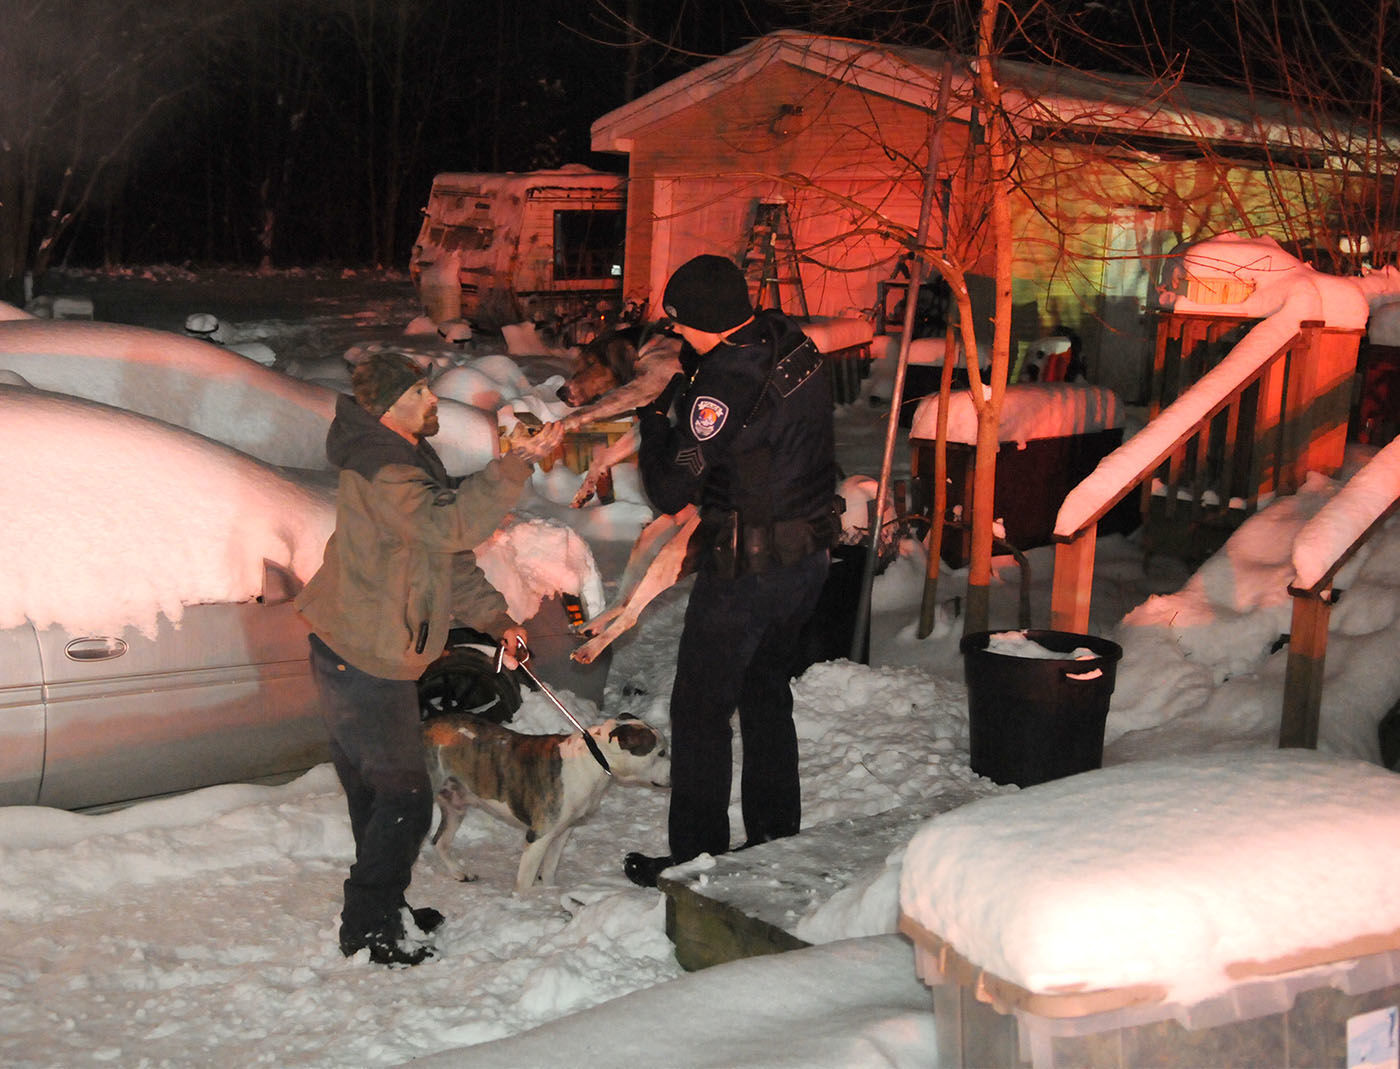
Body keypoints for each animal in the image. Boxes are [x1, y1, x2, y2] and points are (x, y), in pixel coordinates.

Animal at [422, 713, 669, 895]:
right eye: (661, 752)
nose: (674, 771)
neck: (594, 759)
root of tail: (424, 726)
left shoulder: (562, 832)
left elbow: (549, 869)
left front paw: (549, 893)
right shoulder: (539, 837)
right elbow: (525, 881)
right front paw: (525, 903)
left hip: (456, 806)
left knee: (439, 841)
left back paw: (459, 872)